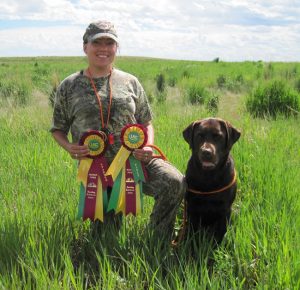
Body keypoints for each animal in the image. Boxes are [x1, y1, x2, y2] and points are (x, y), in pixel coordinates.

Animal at [182, 116, 240, 244]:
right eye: (199, 135)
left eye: (218, 136)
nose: (206, 152)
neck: (208, 177)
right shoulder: (192, 207)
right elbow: (192, 231)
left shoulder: (225, 209)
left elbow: (221, 232)